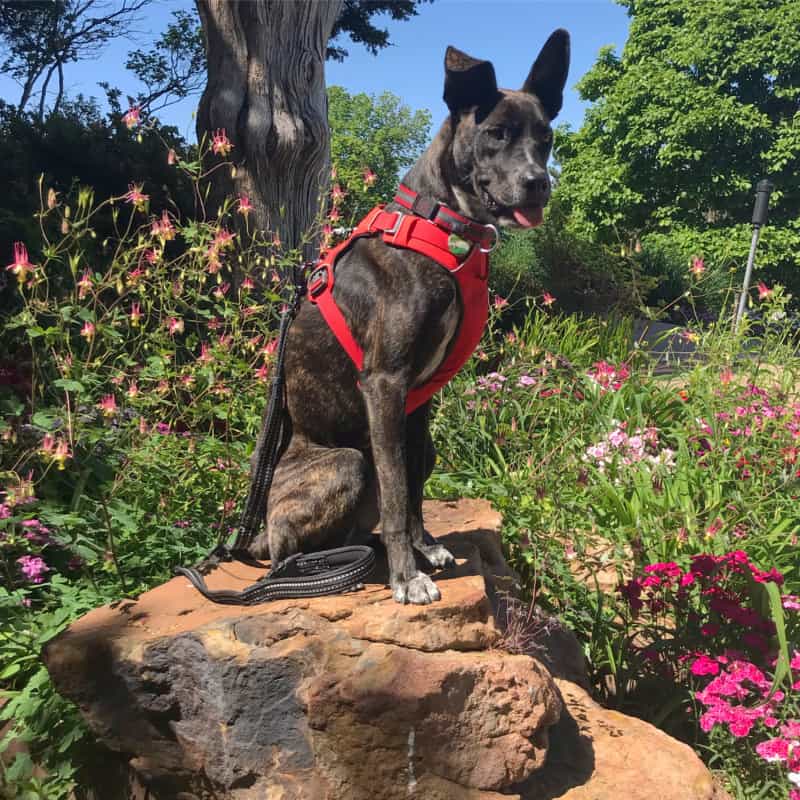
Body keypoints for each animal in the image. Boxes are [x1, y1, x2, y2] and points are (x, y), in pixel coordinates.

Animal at [253, 31, 572, 608]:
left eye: (547, 137)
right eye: (496, 134)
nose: (539, 183)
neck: (443, 228)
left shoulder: (418, 402)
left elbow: (413, 485)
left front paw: (425, 548)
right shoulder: (385, 383)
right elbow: (398, 493)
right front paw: (407, 576)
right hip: (345, 463)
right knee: (289, 553)